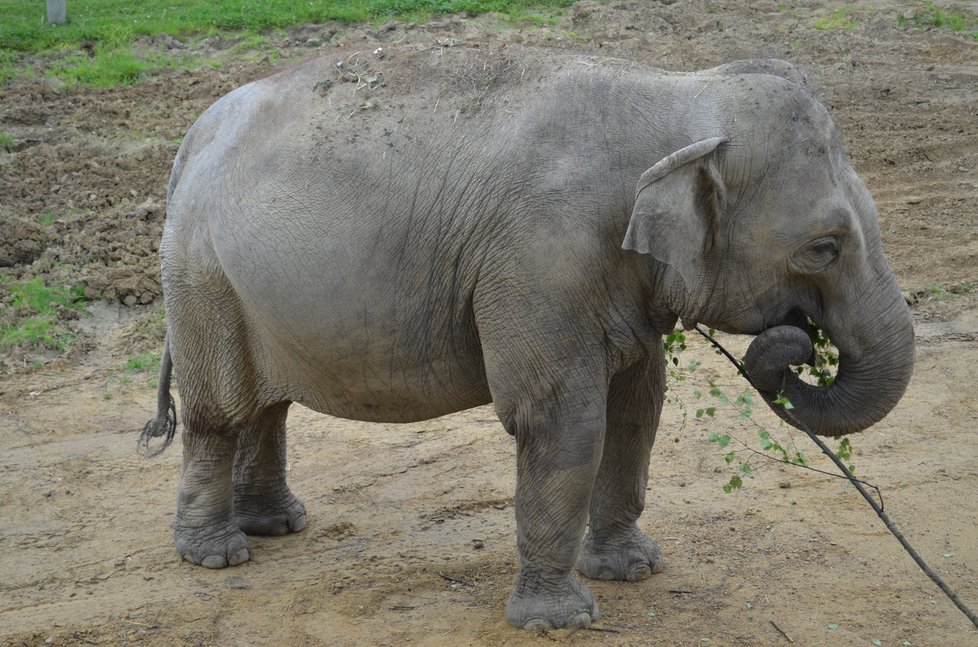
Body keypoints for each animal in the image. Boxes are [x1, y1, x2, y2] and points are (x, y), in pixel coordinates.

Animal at [139, 46, 916, 632]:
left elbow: (637, 407)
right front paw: (560, 620)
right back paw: (217, 555)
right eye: (823, 248)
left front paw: (635, 569)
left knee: (265, 406)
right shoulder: (540, 259)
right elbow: (562, 418)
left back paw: (277, 525)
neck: (674, 94)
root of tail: (194, 135)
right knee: (218, 413)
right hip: (202, 277)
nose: (797, 343)